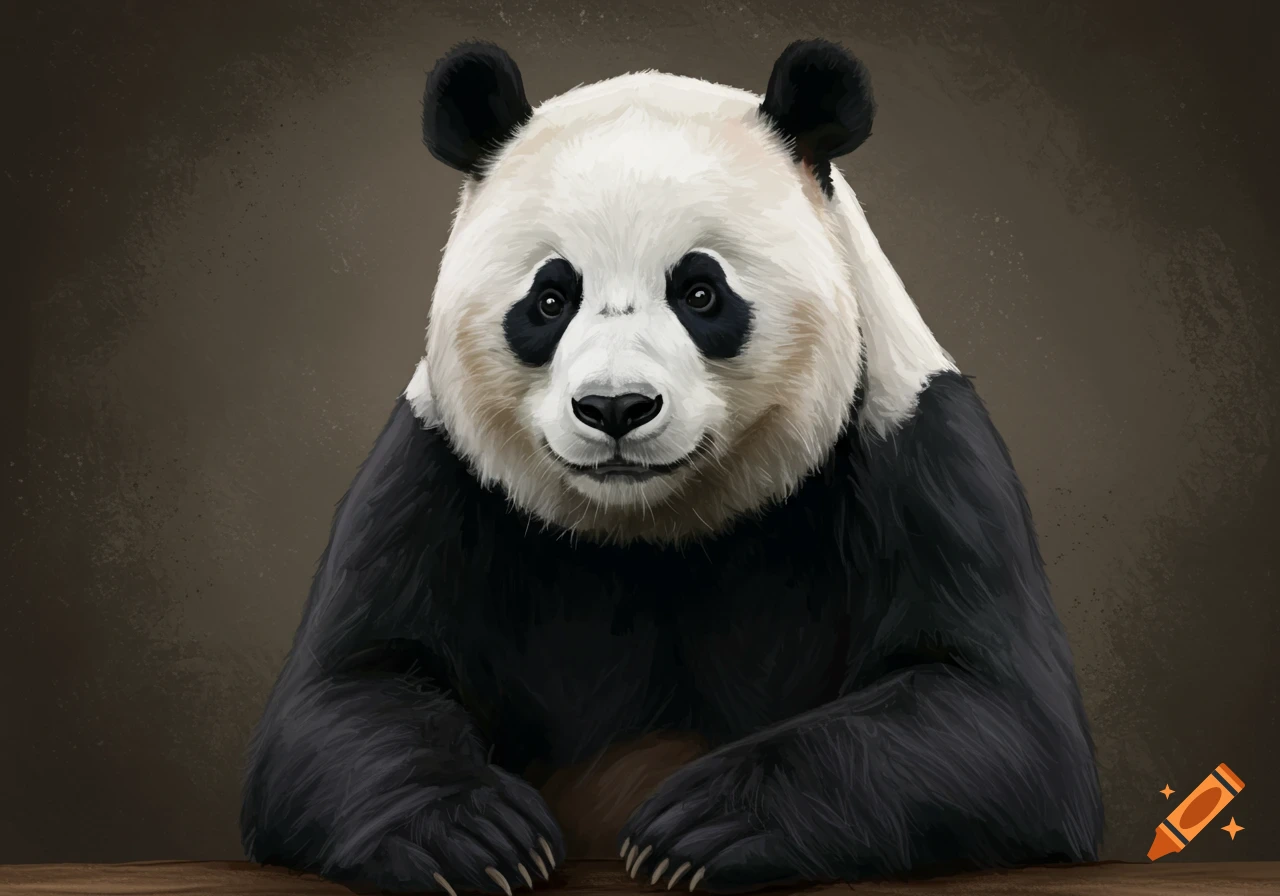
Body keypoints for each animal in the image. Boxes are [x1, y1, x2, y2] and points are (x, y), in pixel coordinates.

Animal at [240, 38, 1104, 895]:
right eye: (550, 300)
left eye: (700, 291)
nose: (617, 407)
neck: (654, 526)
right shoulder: (436, 477)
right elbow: (346, 693)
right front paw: (479, 837)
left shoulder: (915, 458)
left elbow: (996, 714)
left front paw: (700, 826)